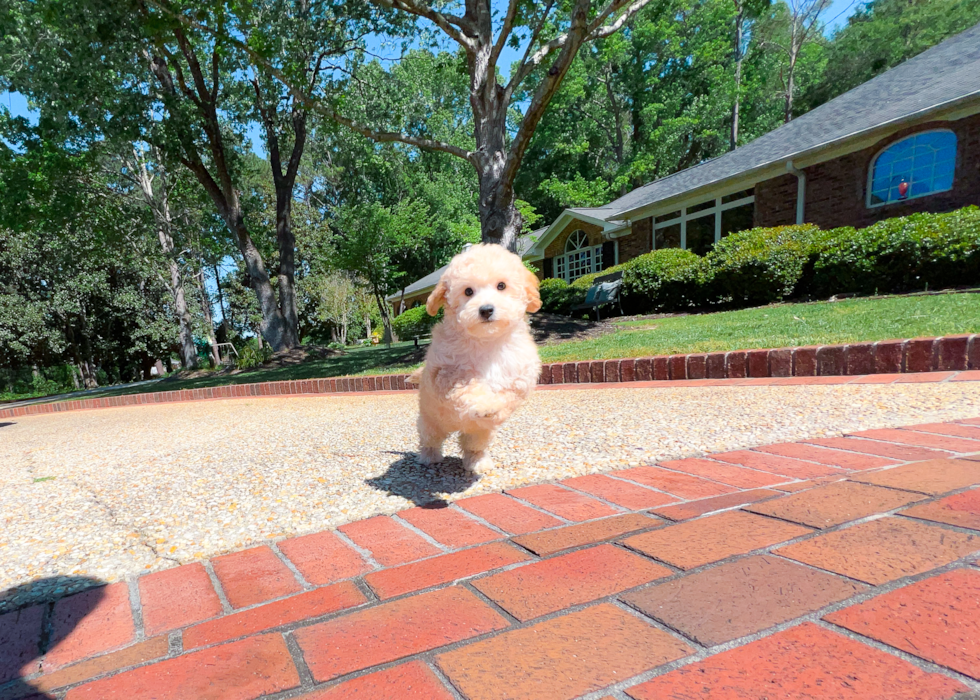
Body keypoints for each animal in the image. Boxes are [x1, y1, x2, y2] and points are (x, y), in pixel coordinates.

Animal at [412, 243, 544, 474]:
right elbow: (467, 384)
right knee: (430, 437)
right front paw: (484, 404)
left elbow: (509, 396)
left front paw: (495, 409)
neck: (487, 341)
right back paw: (429, 456)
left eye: (501, 286)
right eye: (468, 291)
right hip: (432, 419)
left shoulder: (521, 374)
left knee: (473, 444)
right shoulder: (446, 371)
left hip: (477, 434)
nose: (486, 309)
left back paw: (478, 461)